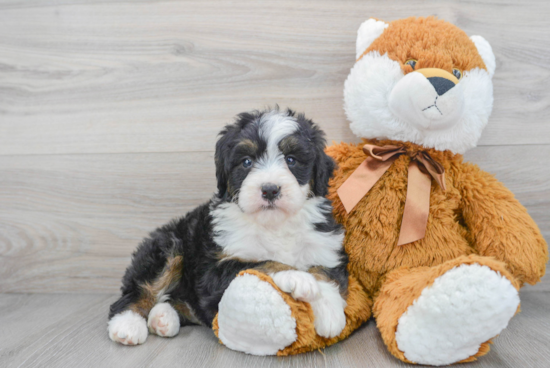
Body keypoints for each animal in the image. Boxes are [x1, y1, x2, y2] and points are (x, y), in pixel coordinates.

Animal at [108, 108, 350, 346]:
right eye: (247, 162)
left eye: (291, 160)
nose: (270, 189)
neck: (273, 224)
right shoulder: (213, 271)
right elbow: (261, 263)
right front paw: (297, 277)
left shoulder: (324, 244)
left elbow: (325, 271)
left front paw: (329, 312)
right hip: (168, 244)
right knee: (139, 289)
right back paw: (127, 324)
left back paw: (162, 318)